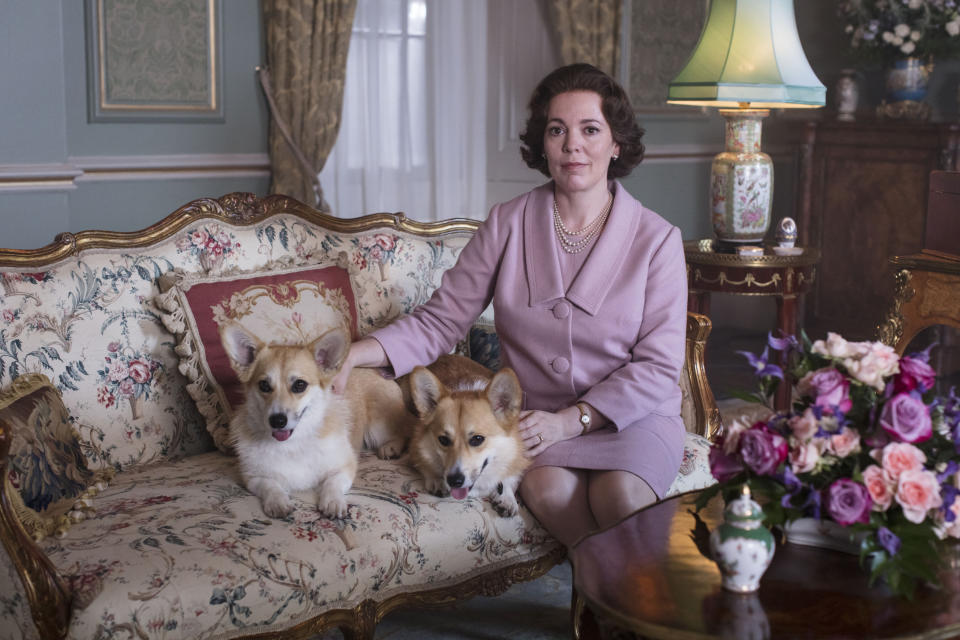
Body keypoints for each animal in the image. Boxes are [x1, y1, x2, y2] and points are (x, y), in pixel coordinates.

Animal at [221, 324, 408, 520]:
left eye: (299, 385)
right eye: (264, 385)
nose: (277, 420)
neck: (293, 443)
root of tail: (376, 370)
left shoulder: (345, 467)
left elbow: (332, 483)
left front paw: (333, 501)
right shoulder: (253, 478)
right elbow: (270, 486)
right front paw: (277, 502)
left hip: (378, 428)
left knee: (404, 431)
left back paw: (391, 447)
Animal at [404, 352, 528, 516]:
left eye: (477, 439)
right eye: (443, 440)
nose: (454, 481)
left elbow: (509, 475)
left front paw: (506, 497)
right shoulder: (415, 448)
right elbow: (425, 464)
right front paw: (437, 480)